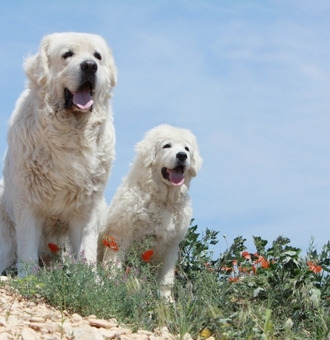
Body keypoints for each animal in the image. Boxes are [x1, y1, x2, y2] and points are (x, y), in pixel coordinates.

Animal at [0, 31, 117, 276]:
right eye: (67, 54)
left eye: (97, 56)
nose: (90, 66)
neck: (70, 132)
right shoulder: (28, 202)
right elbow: (27, 249)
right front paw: (29, 278)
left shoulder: (87, 207)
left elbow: (86, 248)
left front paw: (90, 280)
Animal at [96, 124, 202, 298]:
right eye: (167, 145)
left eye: (187, 148)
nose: (182, 155)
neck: (162, 200)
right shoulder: (120, 238)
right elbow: (114, 268)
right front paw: (114, 289)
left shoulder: (171, 247)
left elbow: (166, 281)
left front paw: (167, 301)